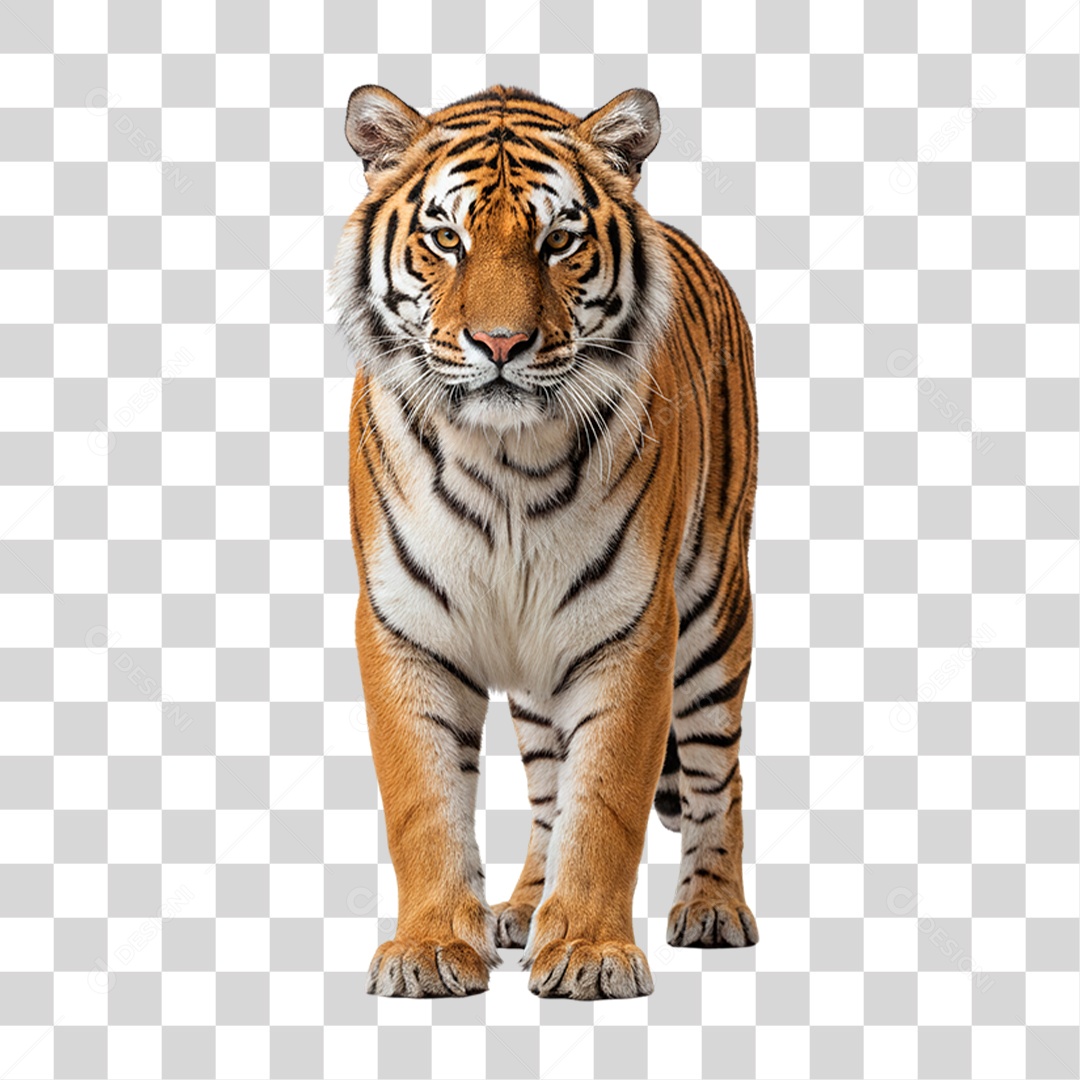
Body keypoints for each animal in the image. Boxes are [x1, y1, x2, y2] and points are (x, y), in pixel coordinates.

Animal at [330, 84, 758, 1000]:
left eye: (558, 241)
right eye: (446, 239)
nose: (499, 344)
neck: (504, 463)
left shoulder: (634, 630)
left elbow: (607, 803)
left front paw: (592, 952)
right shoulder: (402, 627)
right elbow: (425, 802)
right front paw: (428, 948)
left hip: (716, 615)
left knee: (718, 772)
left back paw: (712, 907)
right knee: (545, 788)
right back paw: (526, 906)